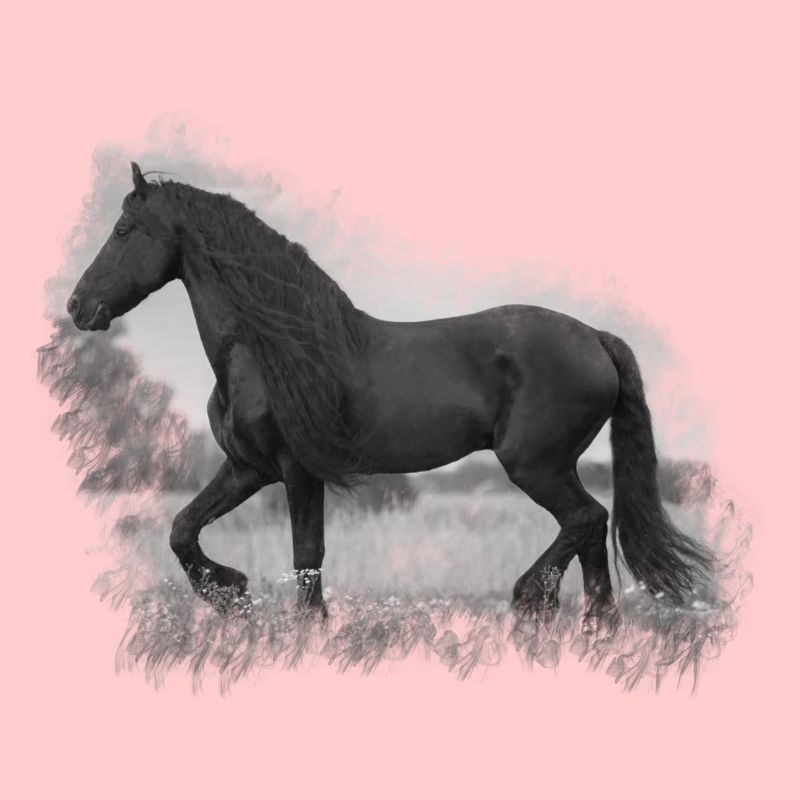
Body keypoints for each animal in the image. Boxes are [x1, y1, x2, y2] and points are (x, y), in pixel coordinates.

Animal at [67, 162, 713, 632]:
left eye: (122, 231)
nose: (77, 307)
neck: (270, 348)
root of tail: (596, 338)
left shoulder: (297, 470)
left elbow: (307, 557)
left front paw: (304, 627)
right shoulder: (247, 468)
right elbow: (183, 528)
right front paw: (231, 593)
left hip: (534, 464)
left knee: (586, 519)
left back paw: (532, 598)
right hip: (555, 465)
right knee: (590, 532)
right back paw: (595, 628)